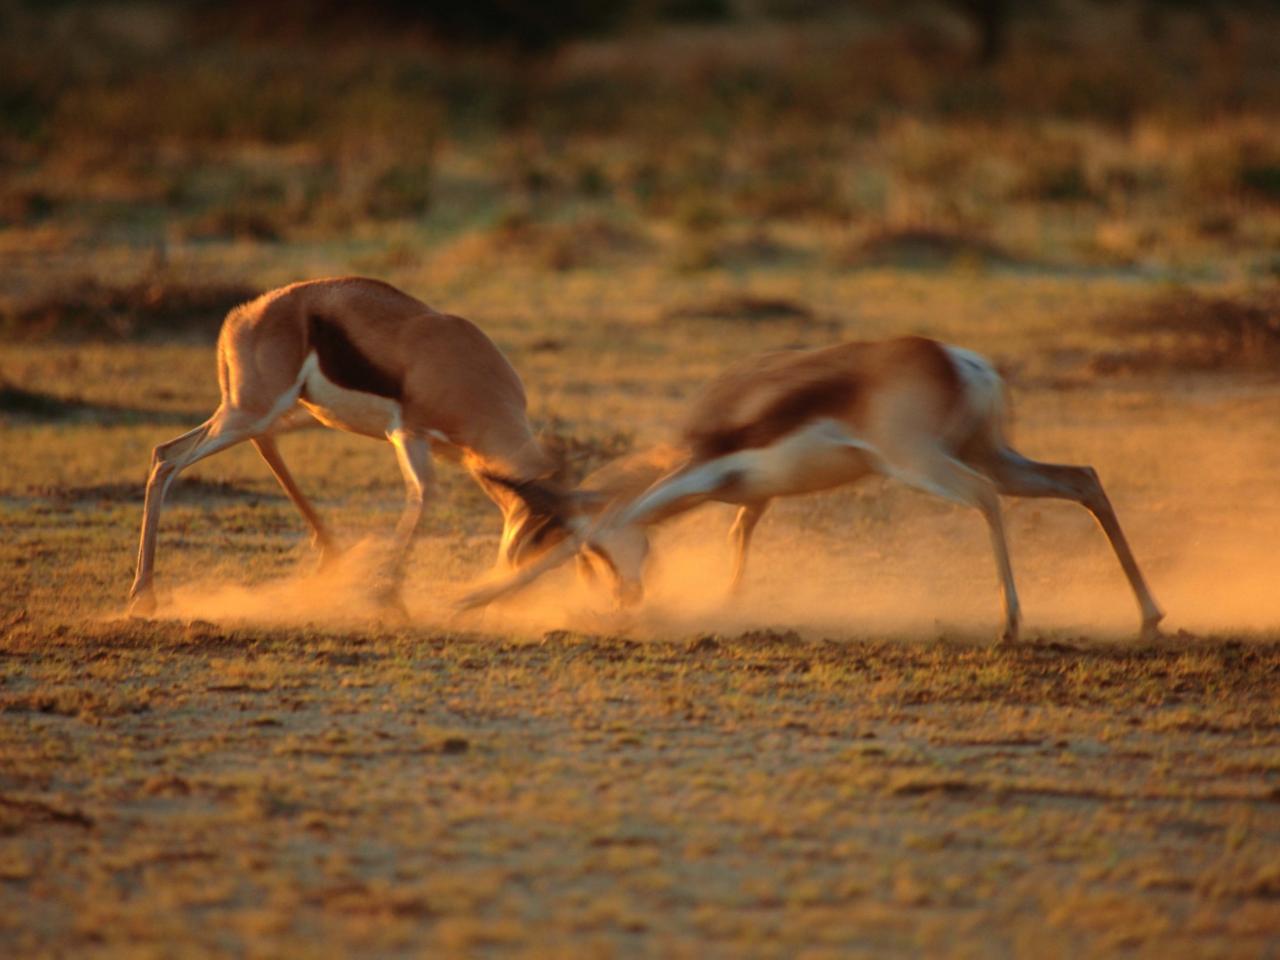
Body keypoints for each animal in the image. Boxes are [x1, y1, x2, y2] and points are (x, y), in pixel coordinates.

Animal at [127, 277, 578, 616]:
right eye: (541, 534)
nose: (508, 591)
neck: (470, 374)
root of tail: (242, 315)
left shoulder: (469, 459)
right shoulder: (408, 435)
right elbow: (423, 495)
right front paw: (388, 600)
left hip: (295, 413)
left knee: (257, 442)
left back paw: (333, 556)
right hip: (251, 410)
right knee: (167, 457)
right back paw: (143, 596)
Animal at [458, 335, 1162, 642]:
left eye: (595, 559)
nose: (625, 600)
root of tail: (959, 360)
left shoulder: (694, 472)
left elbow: (612, 516)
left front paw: (473, 598)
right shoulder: (752, 497)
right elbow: (739, 540)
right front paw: (725, 606)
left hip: (924, 463)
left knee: (985, 498)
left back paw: (1011, 621)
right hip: (992, 453)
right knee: (1082, 479)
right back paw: (1149, 615)